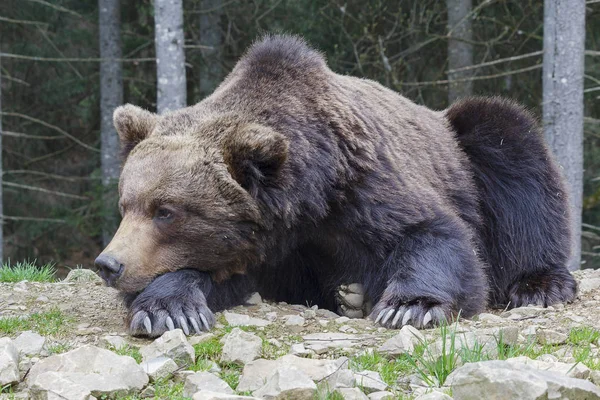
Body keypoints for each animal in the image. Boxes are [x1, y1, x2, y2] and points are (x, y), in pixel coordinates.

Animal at [95, 35, 576, 338]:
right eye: (126, 204)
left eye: (165, 211)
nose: (108, 264)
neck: (303, 204)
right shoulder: (270, 255)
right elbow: (210, 278)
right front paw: (167, 310)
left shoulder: (360, 185)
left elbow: (433, 232)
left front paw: (411, 306)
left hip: (465, 147)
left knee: (508, 145)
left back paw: (538, 284)